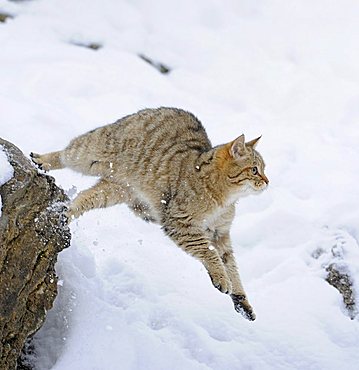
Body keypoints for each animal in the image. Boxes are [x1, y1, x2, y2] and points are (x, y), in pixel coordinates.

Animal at [31, 107, 268, 320]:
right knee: (66, 153)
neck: (224, 200)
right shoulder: (181, 223)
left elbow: (231, 266)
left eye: (264, 169)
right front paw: (221, 278)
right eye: (255, 170)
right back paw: (43, 160)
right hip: (90, 153)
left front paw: (241, 300)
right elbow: (209, 253)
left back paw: (65, 212)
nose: (267, 181)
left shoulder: (221, 234)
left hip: (114, 191)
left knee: (82, 198)